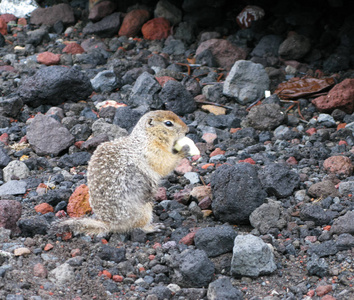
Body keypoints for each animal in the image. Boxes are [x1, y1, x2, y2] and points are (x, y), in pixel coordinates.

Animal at [60, 109, 196, 234]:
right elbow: (165, 163)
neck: (147, 136)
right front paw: (184, 150)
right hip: (144, 211)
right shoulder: (153, 151)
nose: (187, 130)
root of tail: (109, 224)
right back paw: (154, 227)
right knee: (138, 226)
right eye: (168, 123)